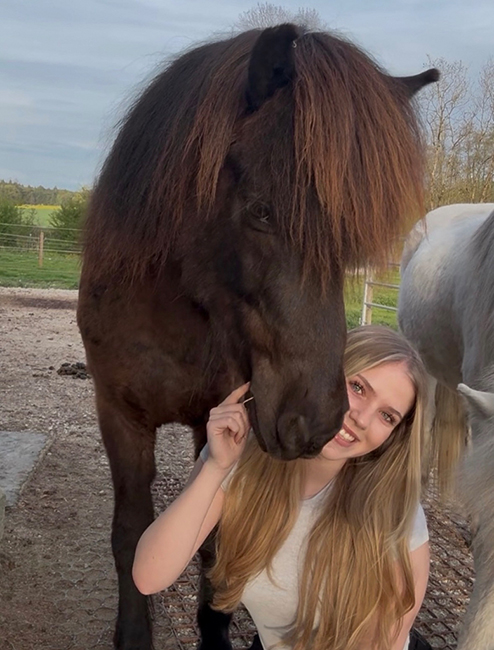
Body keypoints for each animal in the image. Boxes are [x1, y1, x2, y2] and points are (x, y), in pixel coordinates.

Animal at [77, 23, 437, 650]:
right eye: (262, 211)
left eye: (349, 241)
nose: (315, 420)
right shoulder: (118, 415)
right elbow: (131, 533)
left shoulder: (216, 417)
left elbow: (216, 540)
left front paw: (215, 629)